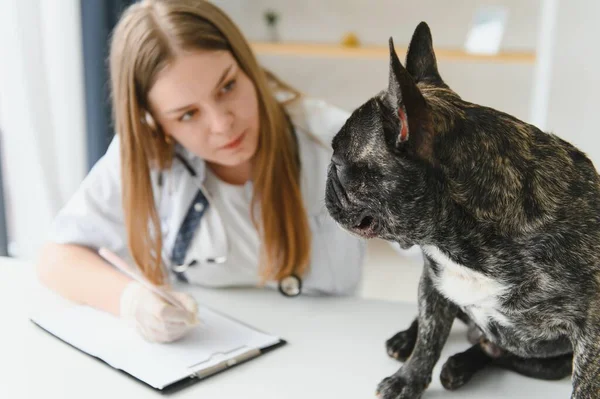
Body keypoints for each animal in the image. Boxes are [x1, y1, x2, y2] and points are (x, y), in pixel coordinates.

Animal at [326, 21, 600, 399]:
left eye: (338, 164)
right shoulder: (434, 282)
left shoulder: (591, 331)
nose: (326, 178)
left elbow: (584, 384)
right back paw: (406, 340)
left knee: (496, 350)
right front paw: (408, 378)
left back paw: (460, 364)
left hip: (550, 362)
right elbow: (429, 336)